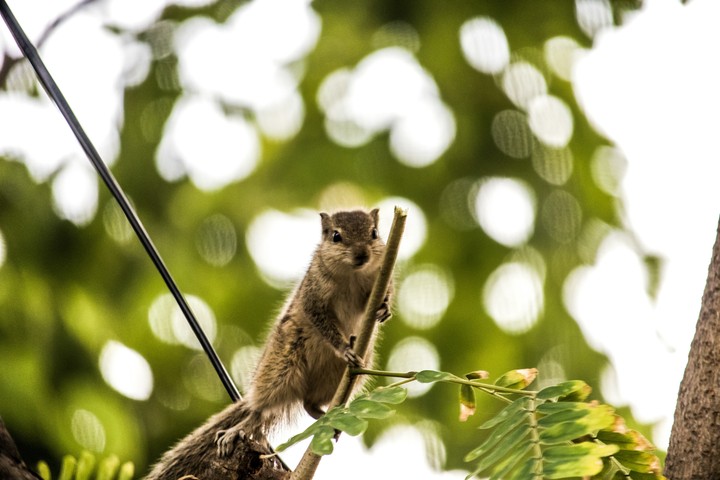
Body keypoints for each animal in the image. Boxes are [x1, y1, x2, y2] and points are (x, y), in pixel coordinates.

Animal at [146, 208, 392, 479]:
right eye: (336, 236)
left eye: (374, 233)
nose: (362, 254)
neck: (352, 275)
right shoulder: (313, 297)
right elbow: (321, 321)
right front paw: (344, 348)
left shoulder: (380, 280)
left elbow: (383, 295)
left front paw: (384, 309)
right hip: (279, 369)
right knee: (259, 410)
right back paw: (237, 429)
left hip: (339, 381)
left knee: (310, 404)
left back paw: (329, 418)